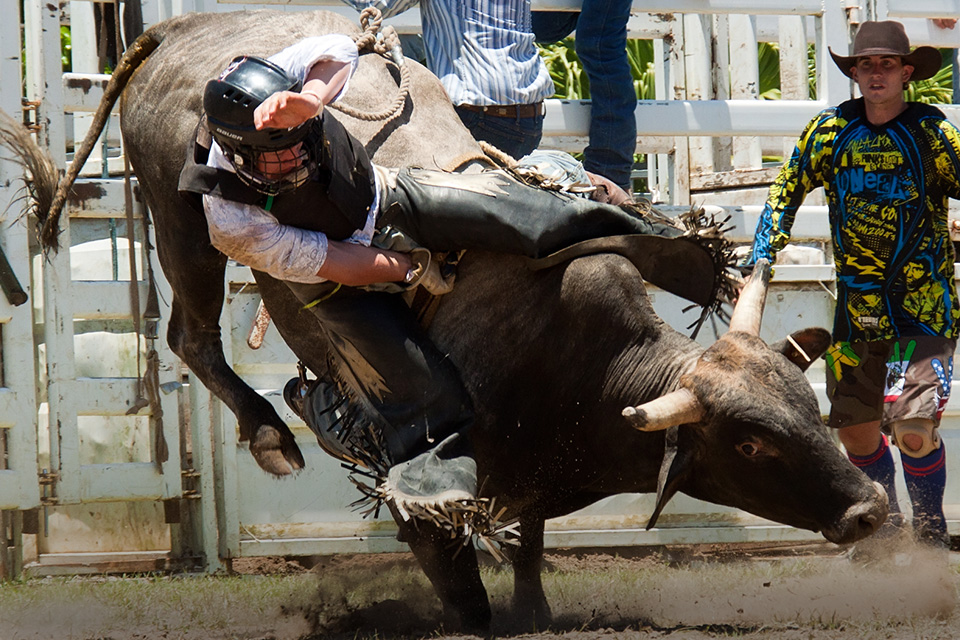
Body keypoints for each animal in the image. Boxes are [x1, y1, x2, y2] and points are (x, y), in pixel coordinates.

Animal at [15, 9, 887, 633]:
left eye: (808, 408)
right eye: (750, 442)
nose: (870, 509)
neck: (581, 372)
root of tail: (185, 28)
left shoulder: (529, 475)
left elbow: (528, 543)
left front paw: (534, 612)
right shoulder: (429, 503)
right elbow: (458, 577)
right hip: (181, 222)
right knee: (191, 335)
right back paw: (270, 435)